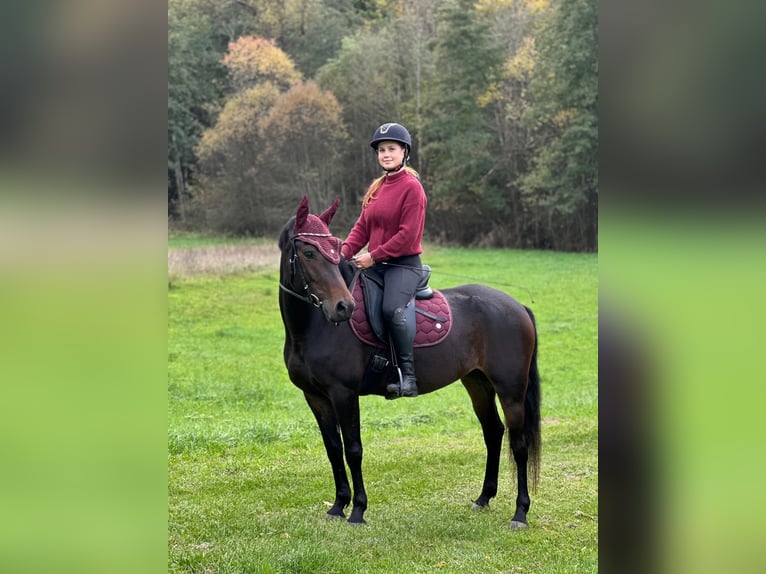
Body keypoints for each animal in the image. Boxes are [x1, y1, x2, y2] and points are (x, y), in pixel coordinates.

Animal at [277, 196, 541, 529]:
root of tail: (517, 306)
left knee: (519, 446)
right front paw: (338, 506)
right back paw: (483, 498)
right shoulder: (315, 397)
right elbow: (334, 450)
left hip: (511, 391)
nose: (343, 307)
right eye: (309, 252)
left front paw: (358, 510)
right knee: (493, 433)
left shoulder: (344, 394)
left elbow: (353, 449)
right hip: (477, 383)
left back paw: (520, 512)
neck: (314, 327)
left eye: (335, 251)